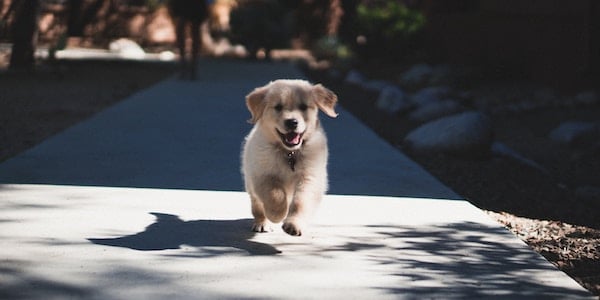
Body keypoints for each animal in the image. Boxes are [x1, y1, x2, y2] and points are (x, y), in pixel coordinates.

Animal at [243, 79, 338, 237]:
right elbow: (275, 195)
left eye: (303, 107)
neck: (289, 153)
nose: (292, 122)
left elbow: (301, 201)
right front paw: (277, 214)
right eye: (278, 107)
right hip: (250, 182)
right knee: (257, 206)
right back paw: (262, 223)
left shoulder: (310, 177)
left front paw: (294, 224)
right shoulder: (262, 174)